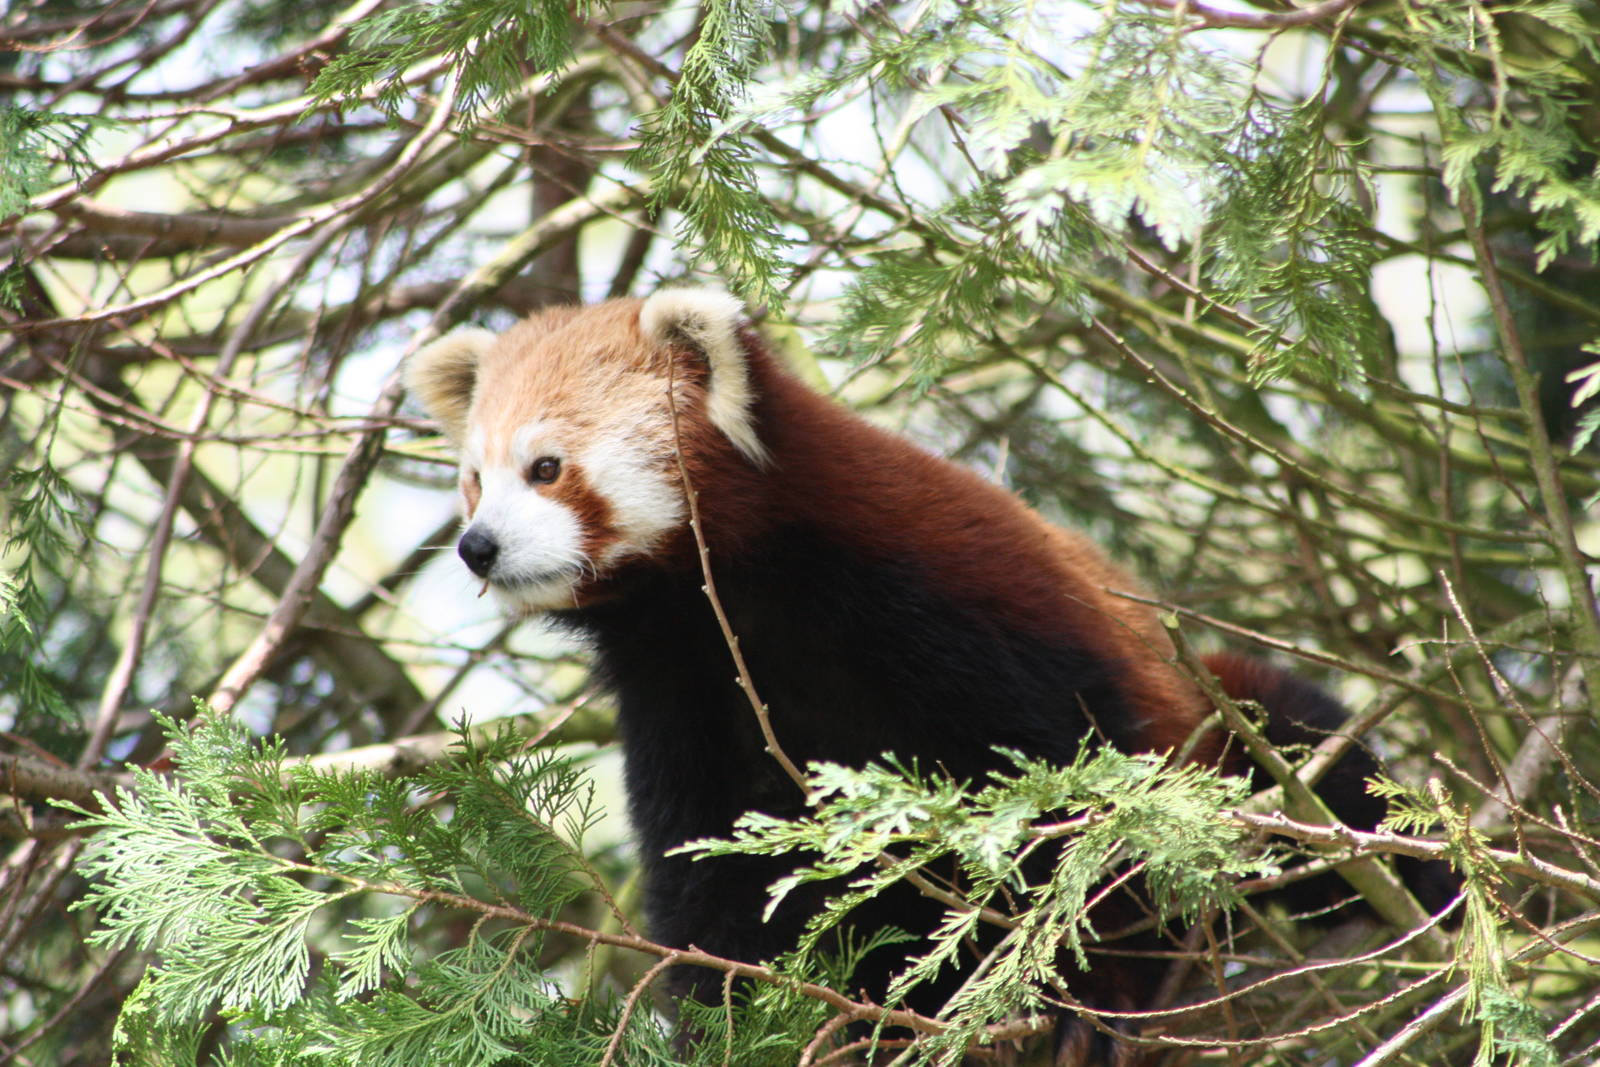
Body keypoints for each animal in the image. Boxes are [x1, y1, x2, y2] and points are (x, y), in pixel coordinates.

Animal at [404, 288, 1449, 1061]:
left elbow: (1086, 806)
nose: (476, 545)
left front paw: (1092, 1002)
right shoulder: (688, 693)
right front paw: (738, 1025)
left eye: (546, 467)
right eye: (474, 478)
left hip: (1224, 713)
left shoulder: (957, 607)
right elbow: (711, 879)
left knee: (1306, 754)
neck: (740, 604)